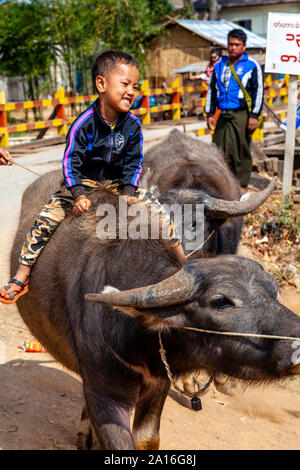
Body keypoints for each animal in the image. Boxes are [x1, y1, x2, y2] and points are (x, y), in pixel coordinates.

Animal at [10, 171, 298, 450]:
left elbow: (147, 438)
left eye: (274, 291)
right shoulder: (105, 392)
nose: (296, 343)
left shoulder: (158, 381)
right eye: (221, 302)